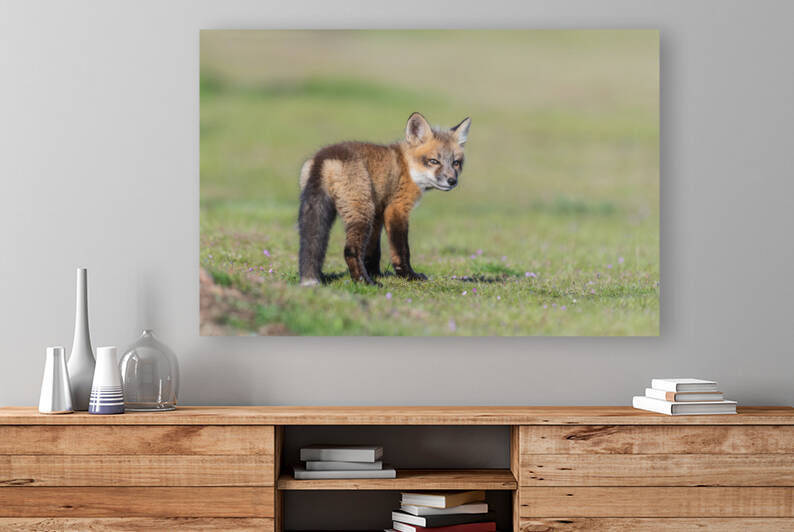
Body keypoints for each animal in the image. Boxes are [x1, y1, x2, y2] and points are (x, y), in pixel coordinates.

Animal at [298, 112, 471, 286]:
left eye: (456, 163)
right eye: (434, 161)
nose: (452, 181)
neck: (407, 168)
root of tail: (324, 157)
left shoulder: (378, 213)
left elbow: (373, 251)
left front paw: (375, 273)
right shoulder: (396, 208)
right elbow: (401, 249)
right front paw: (408, 275)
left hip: (320, 211)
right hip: (361, 213)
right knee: (350, 250)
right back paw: (364, 282)